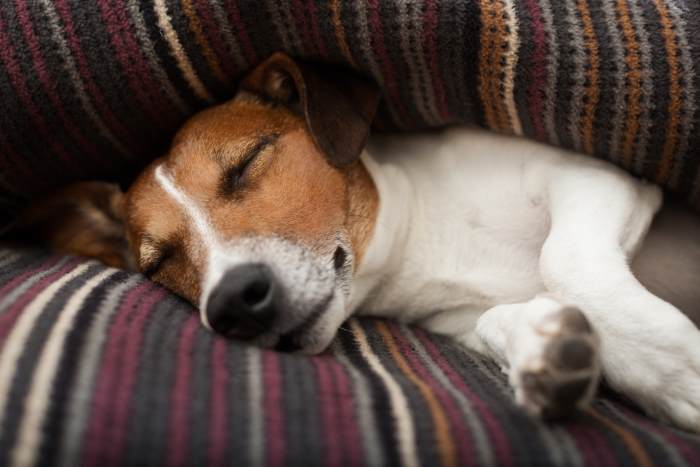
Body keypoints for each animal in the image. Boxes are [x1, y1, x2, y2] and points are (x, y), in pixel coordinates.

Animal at [15, 53, 700, 434]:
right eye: (159, 262)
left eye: (247, 163)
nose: (233, 301)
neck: (424, 242)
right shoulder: (461, 319)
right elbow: (502, 320)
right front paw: (549, 349)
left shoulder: (595, 177)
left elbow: (564, 259)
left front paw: (679, 370)